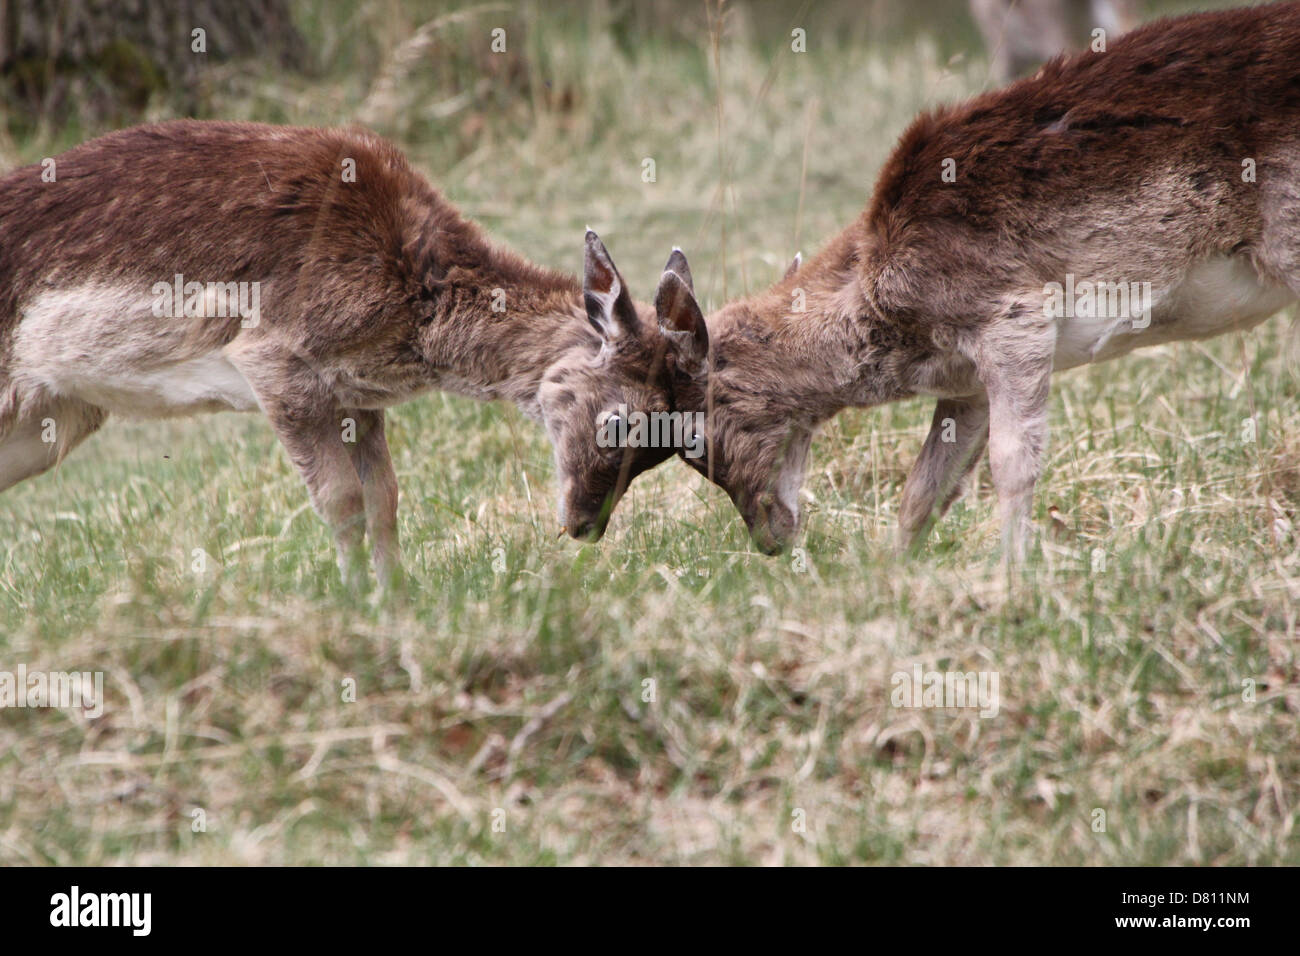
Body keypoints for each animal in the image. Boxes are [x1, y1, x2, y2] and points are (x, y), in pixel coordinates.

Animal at [0, 119, 670, 582]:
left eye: (668, 445)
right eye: (620, 421)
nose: (585, 527)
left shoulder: (356, 395)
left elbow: (385, 496)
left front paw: (395, 594)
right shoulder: (272, 360)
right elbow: (340, 498)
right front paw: (353, 600)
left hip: (56, 418)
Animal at [546, 1, 1300, 561]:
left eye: (691, 440)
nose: (770, 538)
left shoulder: (1015, 316)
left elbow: (1012, 463)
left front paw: (1011, 577)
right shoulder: (965, 380)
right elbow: (925, 489)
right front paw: (895, 572)